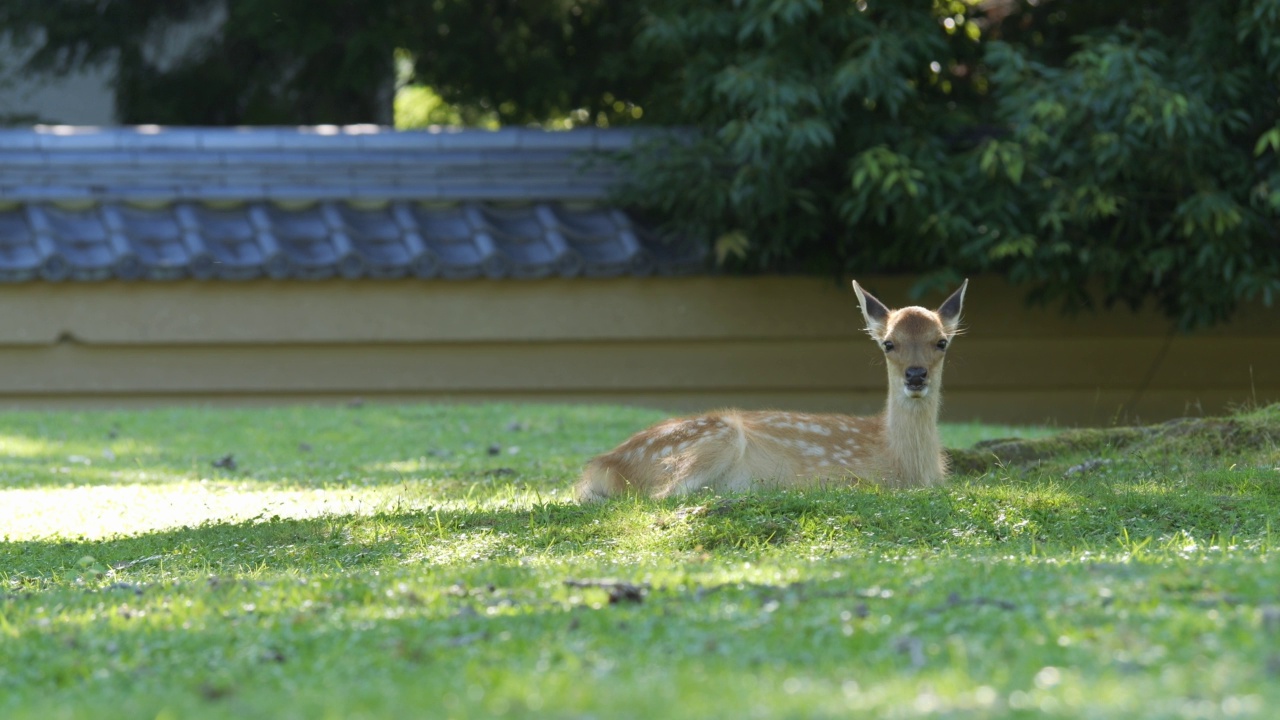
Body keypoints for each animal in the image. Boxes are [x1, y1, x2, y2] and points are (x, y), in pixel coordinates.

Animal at [576, 278, 962, 502]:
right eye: (888, 343)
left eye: (941, 342)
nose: (916, 375)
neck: (907, 465)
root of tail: (605, 465)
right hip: (714, 438)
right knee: (659, 497)